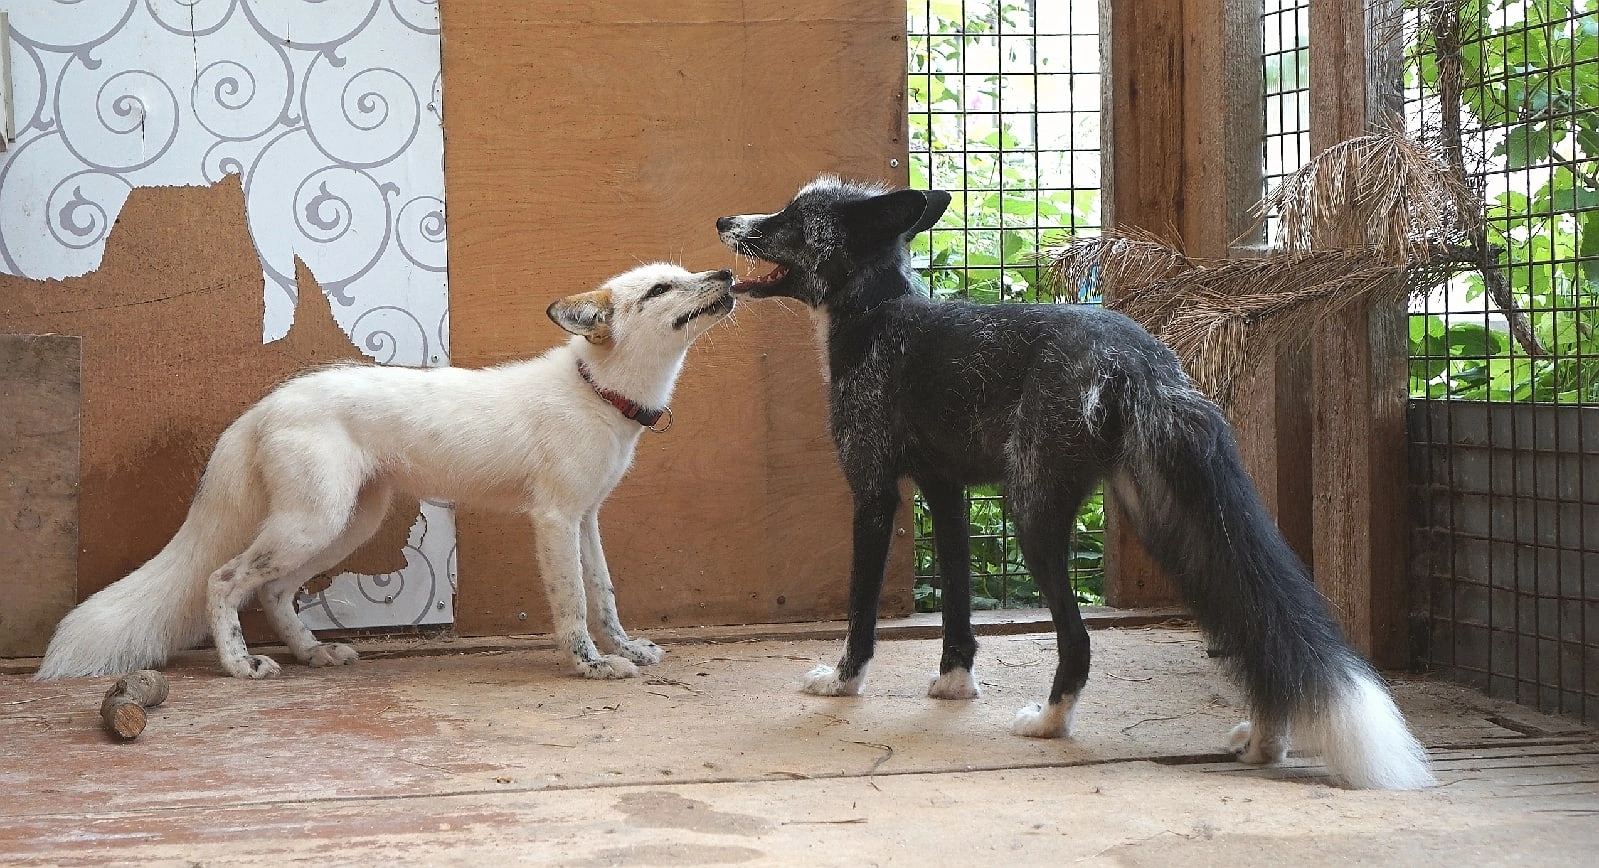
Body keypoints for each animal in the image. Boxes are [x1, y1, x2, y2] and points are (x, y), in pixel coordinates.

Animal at [716, 173, 1439, 792]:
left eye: (790, 218)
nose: (725, 220)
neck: (876, 320)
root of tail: (1138, 355)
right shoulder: (945, 490)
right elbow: (957, 602)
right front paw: (954, 684)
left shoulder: (872, 491)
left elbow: (859, 611)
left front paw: (843, 683)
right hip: (1171, 528)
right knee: (1255, 622)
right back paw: (1264, 743)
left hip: (1034, 516)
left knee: (1080, 638)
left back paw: (1050, 723)